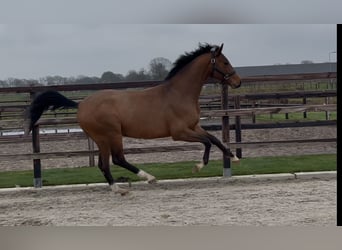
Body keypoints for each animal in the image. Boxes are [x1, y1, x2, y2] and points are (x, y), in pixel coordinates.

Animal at [24, 43, 240, 195]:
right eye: (225, 62)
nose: (238, 82)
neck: (179, 93)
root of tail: (81, 105)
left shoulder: (194, 126)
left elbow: (215, 139)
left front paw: (234, 157)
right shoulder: (179, 133)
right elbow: (207, 142)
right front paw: (198, 166)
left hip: (102, 139)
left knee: (104, 164)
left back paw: (120, 187)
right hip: (110, 135)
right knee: (116, 159)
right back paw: (142, 180)